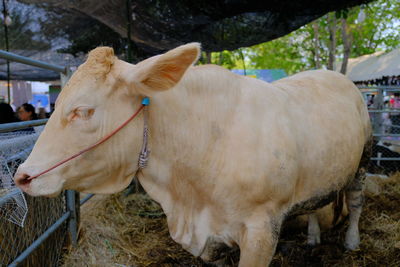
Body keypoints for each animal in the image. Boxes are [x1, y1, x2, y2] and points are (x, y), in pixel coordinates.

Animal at [15, 43, 372, 266]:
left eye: (84, 110)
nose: (22, 176)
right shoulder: (210, 240)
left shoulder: (262, 231)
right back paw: (312, 237)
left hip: (362, 163)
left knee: (355, 203)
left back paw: (352, 242)